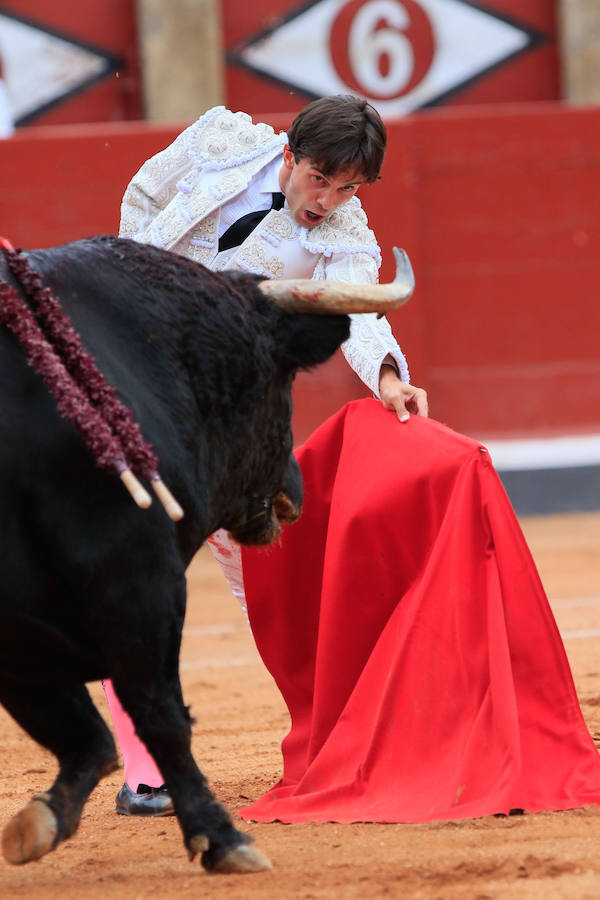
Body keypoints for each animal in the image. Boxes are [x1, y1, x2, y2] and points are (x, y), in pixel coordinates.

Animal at [0, 236, 352, 876]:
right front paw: (223, 838)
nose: (298, 491)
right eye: (284, 381)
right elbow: (156, 710)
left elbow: (85, 731)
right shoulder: (136, 573)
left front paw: (41, 821)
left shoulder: (26, 620)